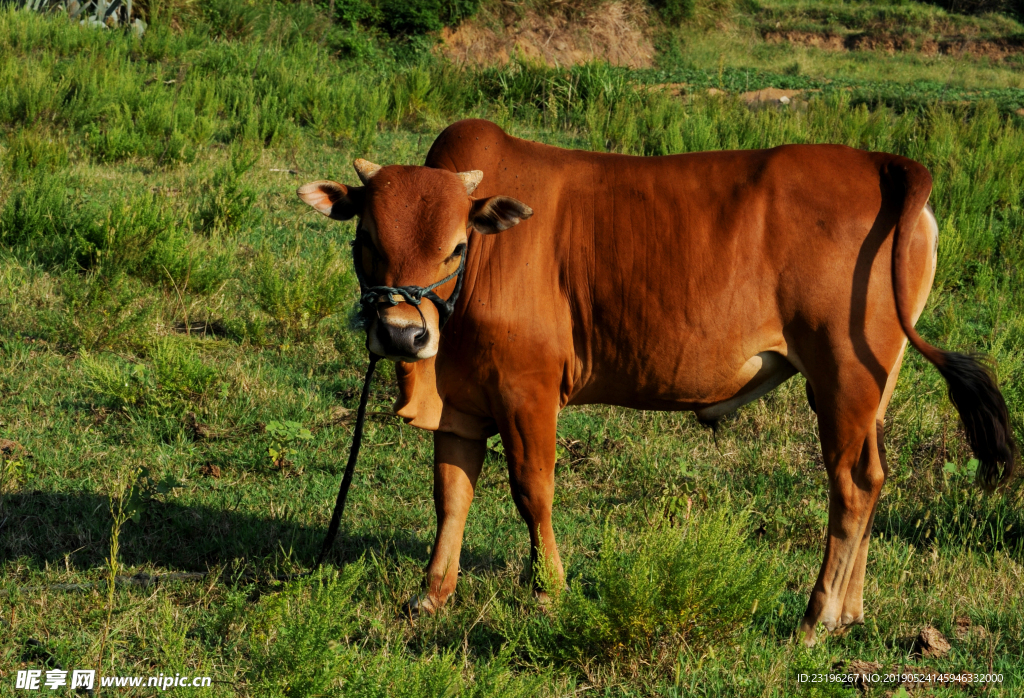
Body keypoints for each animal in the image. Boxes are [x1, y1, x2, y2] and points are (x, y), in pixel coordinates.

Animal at [299, 118, 1015, 642]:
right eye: (367, 239)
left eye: (454, 246)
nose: (402, 336)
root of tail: (882, 164)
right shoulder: (462, 406)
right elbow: (451, 497)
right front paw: (431, 595)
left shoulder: (527, 389)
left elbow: (532, 491)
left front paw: (550, 591)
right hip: (873, 385)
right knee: (873, 475)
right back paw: (851, 611)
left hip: (843, 375)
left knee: (853, 483)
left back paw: (817, 618)